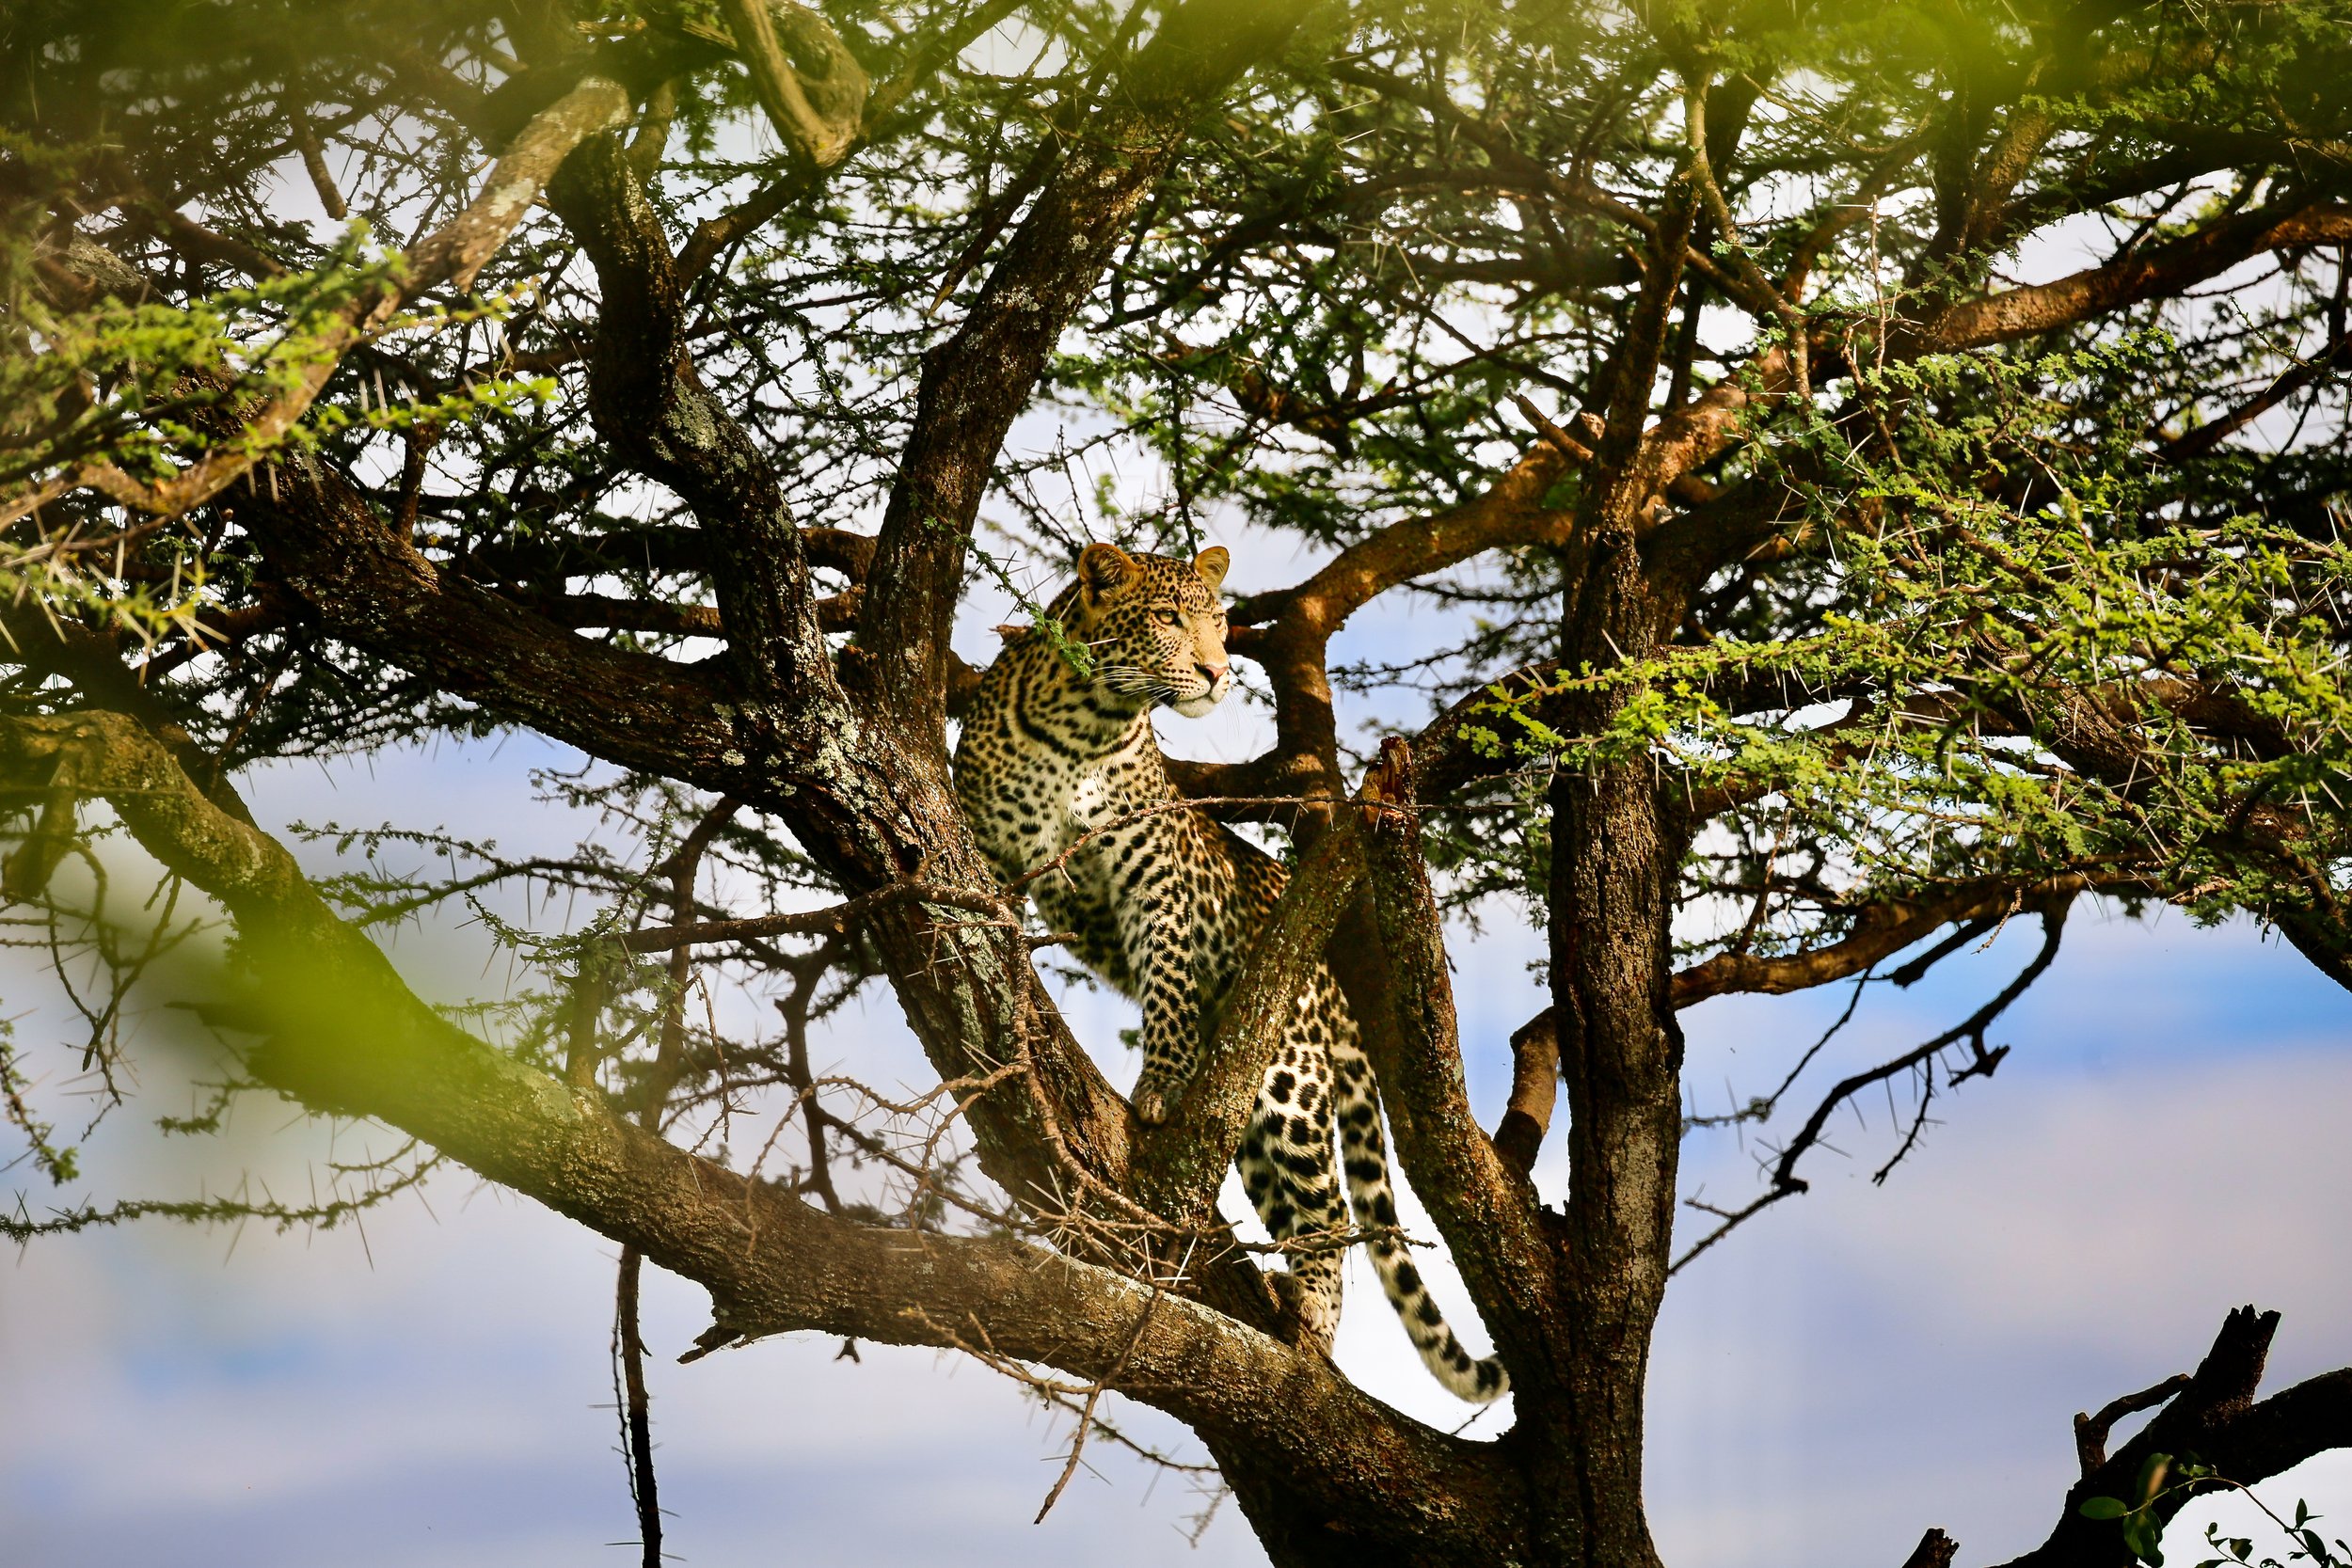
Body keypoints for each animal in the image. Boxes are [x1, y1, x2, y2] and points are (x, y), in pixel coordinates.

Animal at [953, 541, 1507, 1403]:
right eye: (1167, 617)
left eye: (1220, 621)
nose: (1217, 671)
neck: (1083, 725)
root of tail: (1336, 987)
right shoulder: (993, 846)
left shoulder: (1155, 874)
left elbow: (1170, 979)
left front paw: (1158, 1084)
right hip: (1253, 1118)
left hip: (1288, 1081)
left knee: (1330, 1212)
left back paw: (1312, 1317)